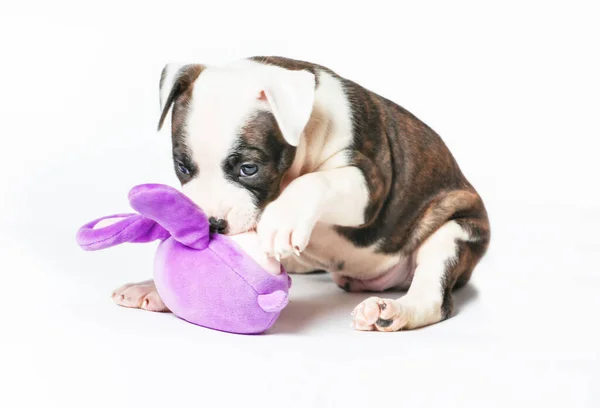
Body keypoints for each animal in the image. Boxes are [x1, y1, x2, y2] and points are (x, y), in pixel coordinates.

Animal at [112, 57, 488, 332]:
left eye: (249, 168)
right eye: (183, 167)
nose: (210, 225)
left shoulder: (370, 182)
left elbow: (315, 182)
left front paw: (282, 218)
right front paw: (157, 285)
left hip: (454, 232)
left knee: (433, 296)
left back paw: (392, 311)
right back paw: (150, 289)